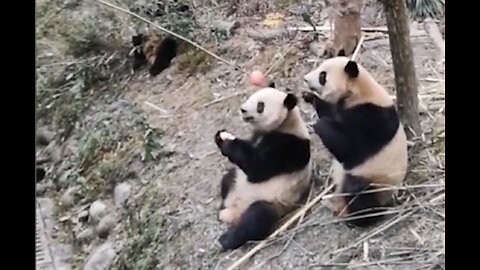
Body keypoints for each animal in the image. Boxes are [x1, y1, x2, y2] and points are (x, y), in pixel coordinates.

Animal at [216, 87, 314, 251]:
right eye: (251, 97)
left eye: (260, 106)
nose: (243, 109)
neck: (286, 123)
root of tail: (235, 211)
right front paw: (220, 136)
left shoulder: (289, 146)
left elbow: (257, 168)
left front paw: (228, 143)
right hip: (237, 181)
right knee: (227, 179)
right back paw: (222, 207)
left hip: (274, 202)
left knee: (256, 217)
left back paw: (226, 240)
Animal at [302, 57, 406, 228]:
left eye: (323, 76)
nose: (305, 79)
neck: (359, 92)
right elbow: (330, 111)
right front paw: (309, 96)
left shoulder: (372, 119)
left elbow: (347, 148)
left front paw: (319, 124)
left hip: (377, 181)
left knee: (359, 192)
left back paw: (357, 218)